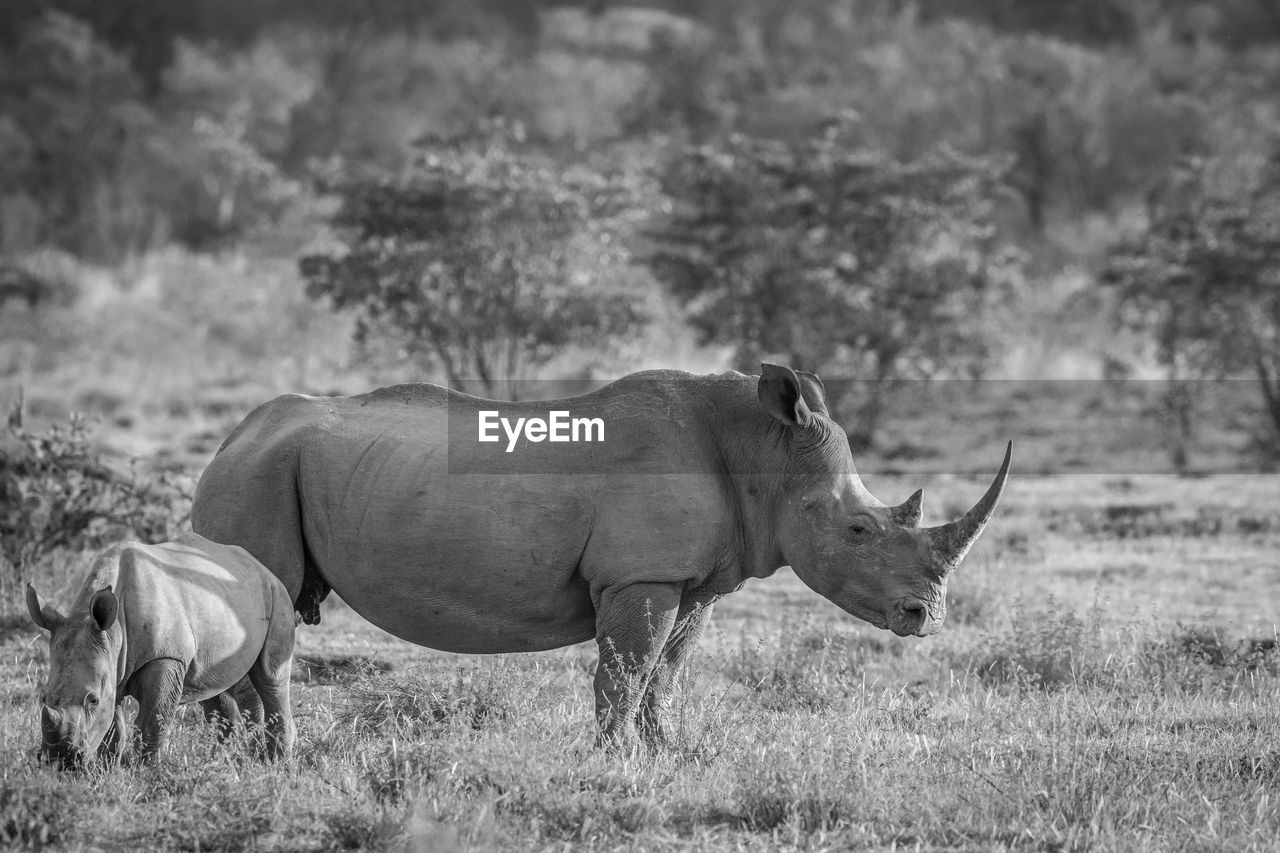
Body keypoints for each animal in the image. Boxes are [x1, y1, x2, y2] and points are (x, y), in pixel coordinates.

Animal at [26, 532, 295, 763]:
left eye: (92, 700)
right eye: (43, 697)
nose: (61, 760)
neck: (113, 632)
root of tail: (259, 565)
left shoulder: (165, 657)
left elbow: (152, 721)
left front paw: (146, 770)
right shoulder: (112, 663)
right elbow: (113, 727)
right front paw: (106, 769)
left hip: (277, 594)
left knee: (271, 678)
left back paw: (277, 764)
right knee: (214, 685)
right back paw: (227, 764)